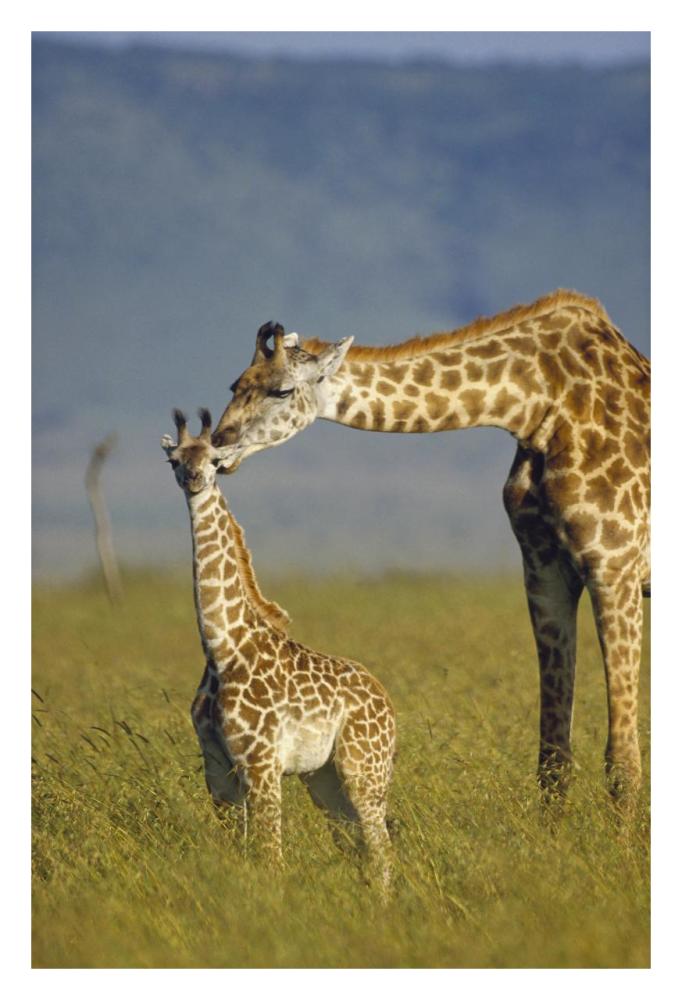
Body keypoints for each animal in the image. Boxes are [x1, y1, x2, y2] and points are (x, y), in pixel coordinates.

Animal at [161, 408, 397, 887]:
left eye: (215, 460)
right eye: (174, 460)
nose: (193, 479)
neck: (222, 648)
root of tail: (387, 701)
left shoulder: (261, 761)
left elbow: (271, 857)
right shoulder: (218, 767)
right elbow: (243, 853)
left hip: (365, 769)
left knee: (382, 853)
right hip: (323, 778)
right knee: (358, 849)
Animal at [210, 290, 651, 810]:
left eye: (280, 391)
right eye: (235, 385)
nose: (218, 445)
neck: (537, 407)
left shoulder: (614, 565)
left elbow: (622, 762)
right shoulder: (544, 571)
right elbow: (553, 757)